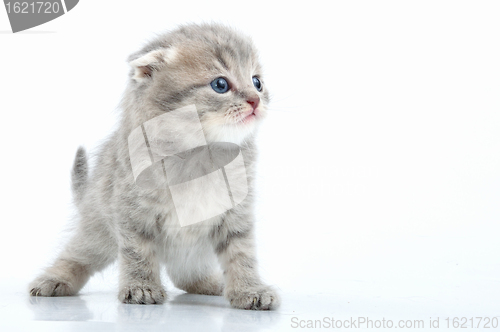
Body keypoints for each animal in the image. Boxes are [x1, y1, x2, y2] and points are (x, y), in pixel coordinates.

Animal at [29, 24, 280, 312]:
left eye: (257, 82)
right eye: (220, 84)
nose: (255, 100)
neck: (201, 152)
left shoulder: (237, 214)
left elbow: (242, 254)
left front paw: (249, 289)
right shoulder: (132, 212)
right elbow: (138, 252)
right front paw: (142, 287)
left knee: (185, 276)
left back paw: (213, 284)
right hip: (97, 232)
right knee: (76, 255)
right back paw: (53, 280)